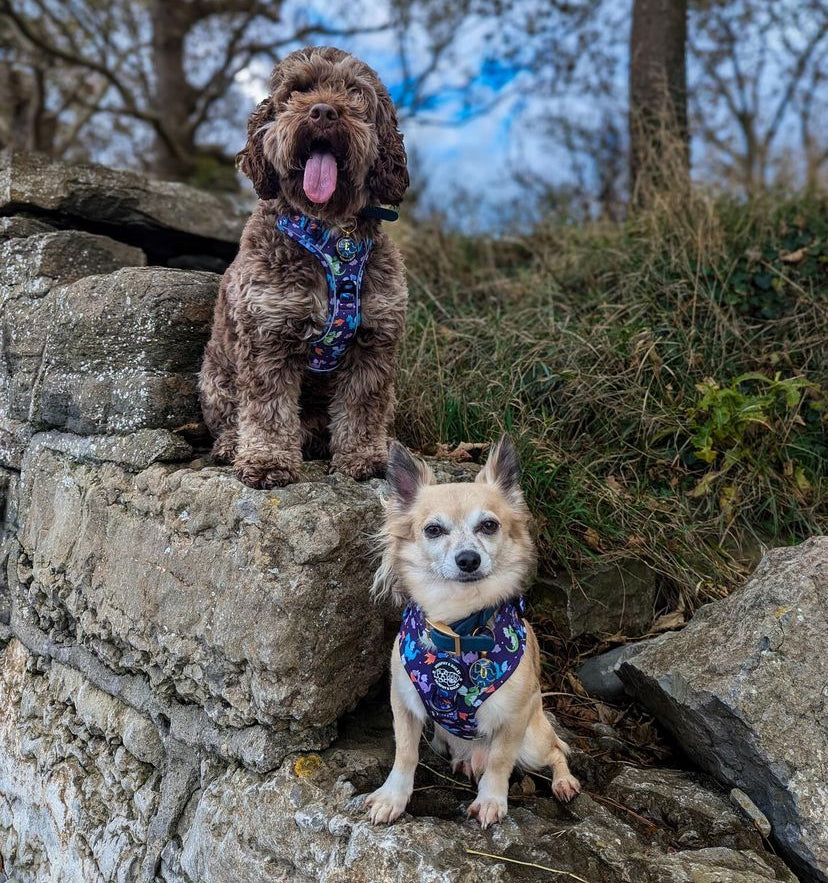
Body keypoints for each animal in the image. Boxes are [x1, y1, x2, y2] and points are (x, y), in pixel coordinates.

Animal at [201, 46, 408, 490]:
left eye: (354, 92)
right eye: (299, 89)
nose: (324, 111)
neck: (332, 231)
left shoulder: (373, 340)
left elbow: (363, 405)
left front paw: (364, 456)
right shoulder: (268, 334)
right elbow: (268, 408)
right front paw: (267, 461)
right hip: (214, 377)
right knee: (230, 418)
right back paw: (230, 445)